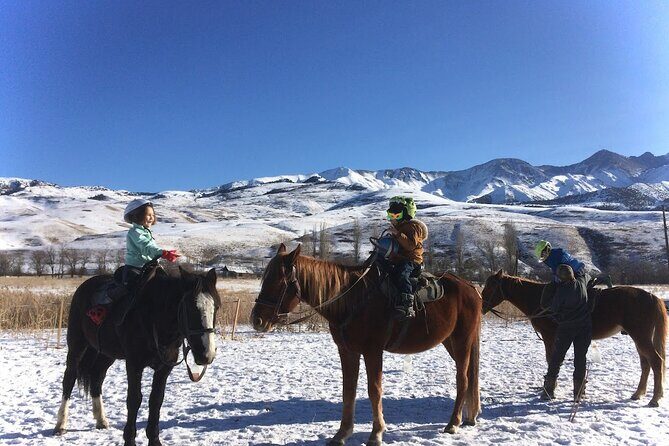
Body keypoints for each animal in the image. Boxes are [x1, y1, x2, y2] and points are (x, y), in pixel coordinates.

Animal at [53, 265, 220, 446]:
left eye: (217, 307)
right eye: (190, 307)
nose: (207, 354)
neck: (154, 319)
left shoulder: (164, 368)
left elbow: (156, 400)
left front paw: (154, 439)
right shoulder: (134, 364)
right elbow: (134, 399)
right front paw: (129, 439)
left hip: (106, 354)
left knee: (97, 378)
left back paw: (101, 420)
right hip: (77, 346)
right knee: (69, 379)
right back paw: (61, 424)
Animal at [251, 244, 481, 445]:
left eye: (279, 282)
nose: (257, 320)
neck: (352, 300)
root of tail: (471, 287)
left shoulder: (373, 351)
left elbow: (374, 390)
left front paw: (376, 434)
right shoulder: (347, 351)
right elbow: (348, 391)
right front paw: (342, 434)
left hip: (462, 340)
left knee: (462, 379)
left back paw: (453, 423)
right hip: (450, 342)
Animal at [481, 270, 667, 406]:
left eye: (491, 286)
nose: (482, 305)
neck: (540, 299)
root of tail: (652, 297)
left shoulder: (550, 337)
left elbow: (552, 360)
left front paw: (549, 390)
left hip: (640, 337)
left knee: (656, 362)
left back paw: (654, 399)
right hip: (639, 338)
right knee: (646, 364)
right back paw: (638, 393)